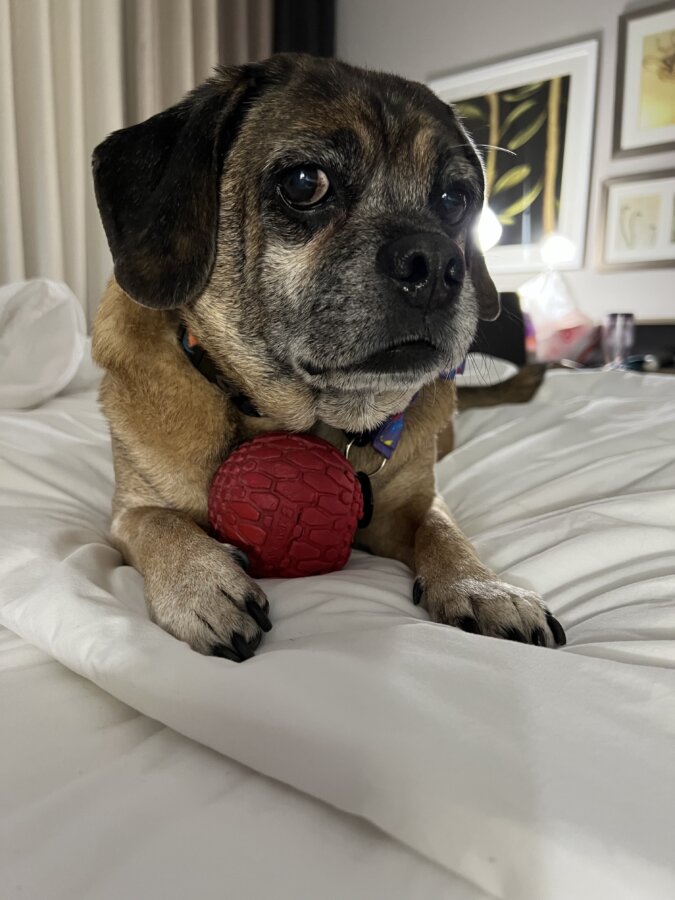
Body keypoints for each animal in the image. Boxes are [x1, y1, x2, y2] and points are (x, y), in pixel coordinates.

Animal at [90, 54, 564, 660]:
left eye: (454, 200)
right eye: (304, 183)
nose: (436, 264)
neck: (306, 417)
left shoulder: (413, 504)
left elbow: (443, 530)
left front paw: (483, 586)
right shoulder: (125, 512)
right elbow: (157, 522)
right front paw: (199, 580)